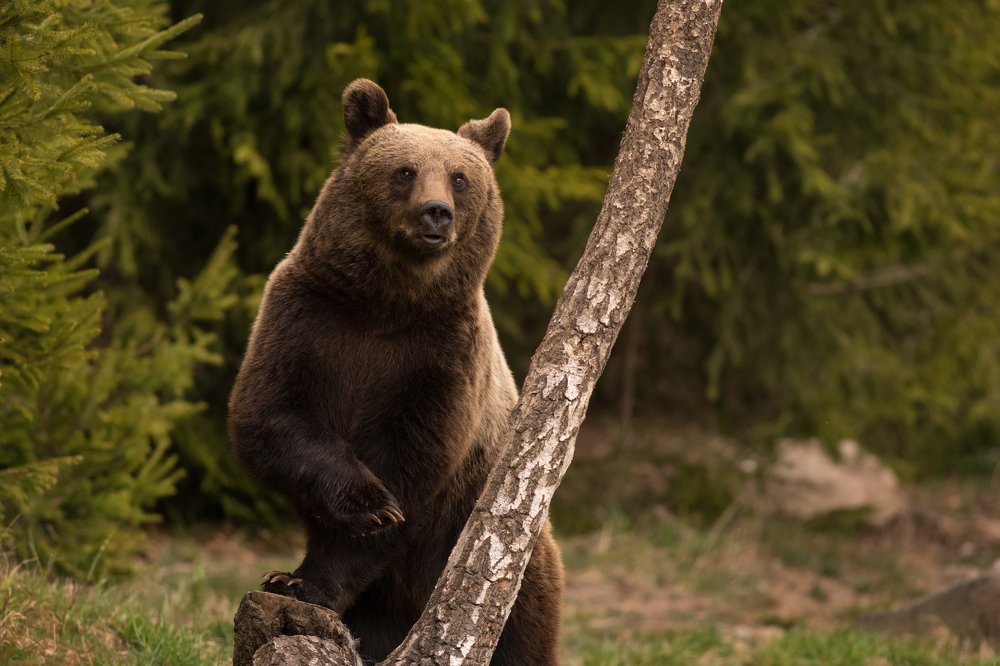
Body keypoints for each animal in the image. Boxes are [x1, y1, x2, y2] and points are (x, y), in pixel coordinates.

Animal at [228, 79, 563, 665]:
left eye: (460, 177)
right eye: (405, 170)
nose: (436, 213)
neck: (387, 305)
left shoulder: (441, 357)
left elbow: (414, 459)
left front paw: (310, 579)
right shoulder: (306, 320)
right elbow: (270, 415)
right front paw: (360, 511)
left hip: (509, 567)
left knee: (522, 635)